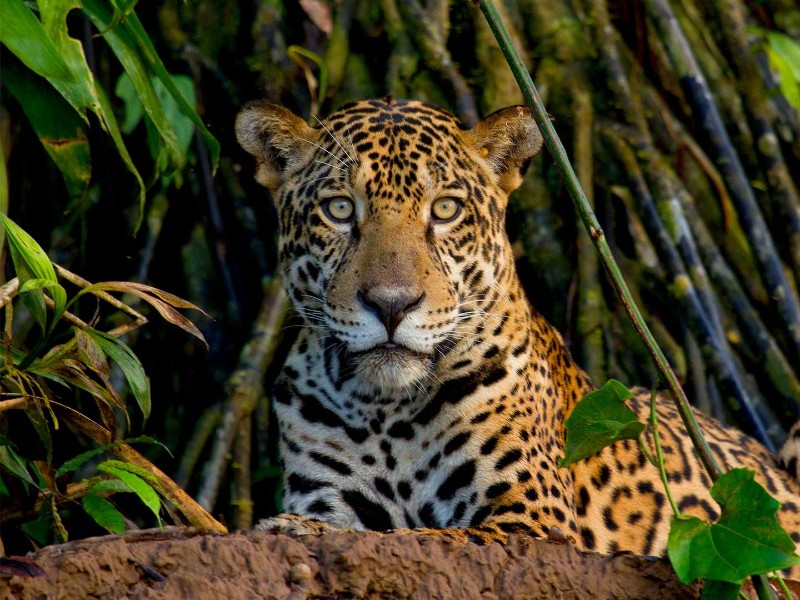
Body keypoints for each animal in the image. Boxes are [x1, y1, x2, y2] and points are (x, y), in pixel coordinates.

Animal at [236, 97, 800, 572]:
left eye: (445, 209)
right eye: (339, 209)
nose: (392, 304)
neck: (385, 411)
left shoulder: (530, 521)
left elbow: (415, 537)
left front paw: (296, 530)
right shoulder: (329, 492)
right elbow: (364, 528)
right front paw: (300, 527)